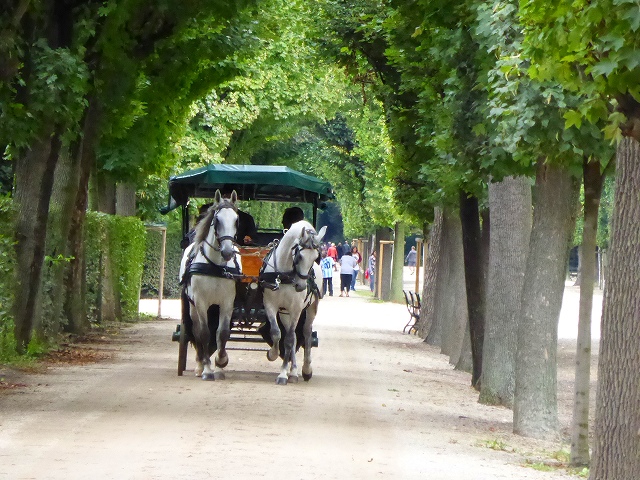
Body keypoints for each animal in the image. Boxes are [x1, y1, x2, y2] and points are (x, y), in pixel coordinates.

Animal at [179, 190, 240, 380]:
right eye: (217, 220)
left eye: (236, 220)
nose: (227, 252)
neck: (215, 265)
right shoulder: (200, 302)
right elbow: (204, 333)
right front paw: (207, 369)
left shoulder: (227, 302)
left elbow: (223, 333)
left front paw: (221, 362)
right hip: (193, 306)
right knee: (197, 330)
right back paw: (200, 365)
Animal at [259, 220, 326, 385]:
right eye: (300, 256)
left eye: (316, 257)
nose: (301, 286)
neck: (283, 275)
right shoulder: (270, 305)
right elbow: (276, 333)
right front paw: (273, 353)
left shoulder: (296, 309)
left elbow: (289, 340)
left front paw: (283, 374)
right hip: (285, 312)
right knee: (294, 335)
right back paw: (294, 371)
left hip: (310, 308)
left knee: (306, 333)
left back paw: (305, 370)